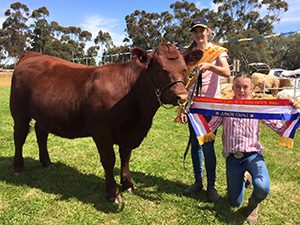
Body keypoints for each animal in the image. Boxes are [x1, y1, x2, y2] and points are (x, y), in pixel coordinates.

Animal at [10, 44, 202, 202]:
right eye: (160, 70)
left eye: (184, 70)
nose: (182, 96)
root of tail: (30, 55)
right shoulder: (101, 132)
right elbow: (109, 160)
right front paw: (112, 193)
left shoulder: (129, 135)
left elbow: (125, 157)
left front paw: (128, 185)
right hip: (19, 112)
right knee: (19, 137)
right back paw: (18, 168)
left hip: (44, 114)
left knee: (41, 132)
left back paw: (47, 163)